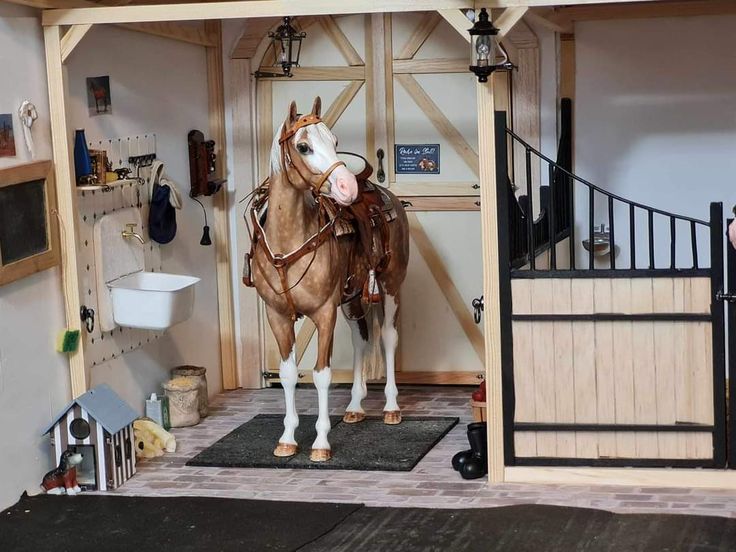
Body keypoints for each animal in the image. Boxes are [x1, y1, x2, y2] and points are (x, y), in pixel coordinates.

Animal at [246, 98, 408, 462]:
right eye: (303, 146)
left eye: (335, 141)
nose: (347, 187)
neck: (288, 243)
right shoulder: (277, 316)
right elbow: (288, 374)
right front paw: (287, 438)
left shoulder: (323, 313)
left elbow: (322, 375)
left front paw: (321, 442)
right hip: (352, 298)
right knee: (362, 339)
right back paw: (355, 407)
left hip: (391, 286)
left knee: (388, 338)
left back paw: (391, 407)